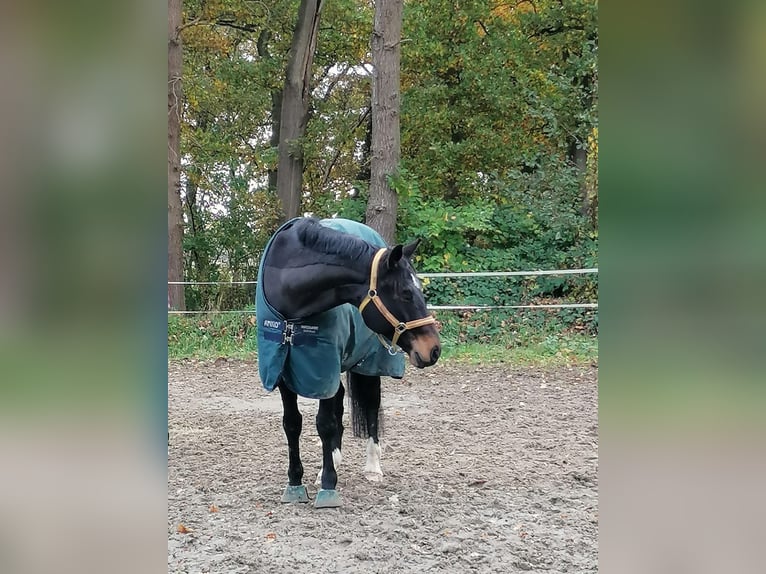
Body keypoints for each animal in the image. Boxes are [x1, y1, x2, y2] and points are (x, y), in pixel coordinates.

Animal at [256, 217, 441, 508]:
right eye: (406, 293)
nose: (433, 350)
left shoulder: (323, 368)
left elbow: (325, 423)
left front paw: (329, 487)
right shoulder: (283, 370)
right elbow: (292, 423)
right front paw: (295, 482)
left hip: (369, 366)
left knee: (371, 407)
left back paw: (373, 468)